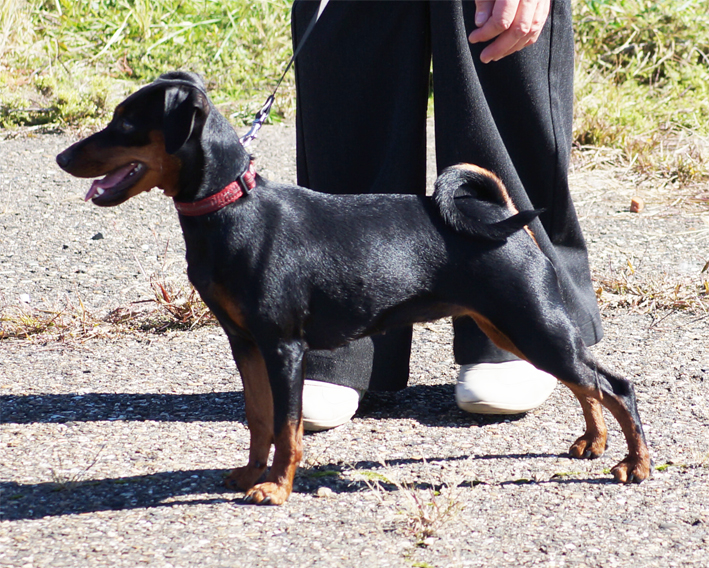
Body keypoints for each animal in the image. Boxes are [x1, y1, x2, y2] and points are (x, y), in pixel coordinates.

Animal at [56, 73, 652, 504]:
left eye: (126, 123)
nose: (62, 157)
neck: (233, 207)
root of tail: (503, 217)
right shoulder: (245, 343)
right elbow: (259, 415)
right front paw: (250, 473)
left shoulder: (282, 346)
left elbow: (288, 427)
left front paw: (276, 488)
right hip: (516, 328)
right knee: (586, 383)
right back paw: (594, 443)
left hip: (530, 325)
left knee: (614, 385)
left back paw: (635, 464)